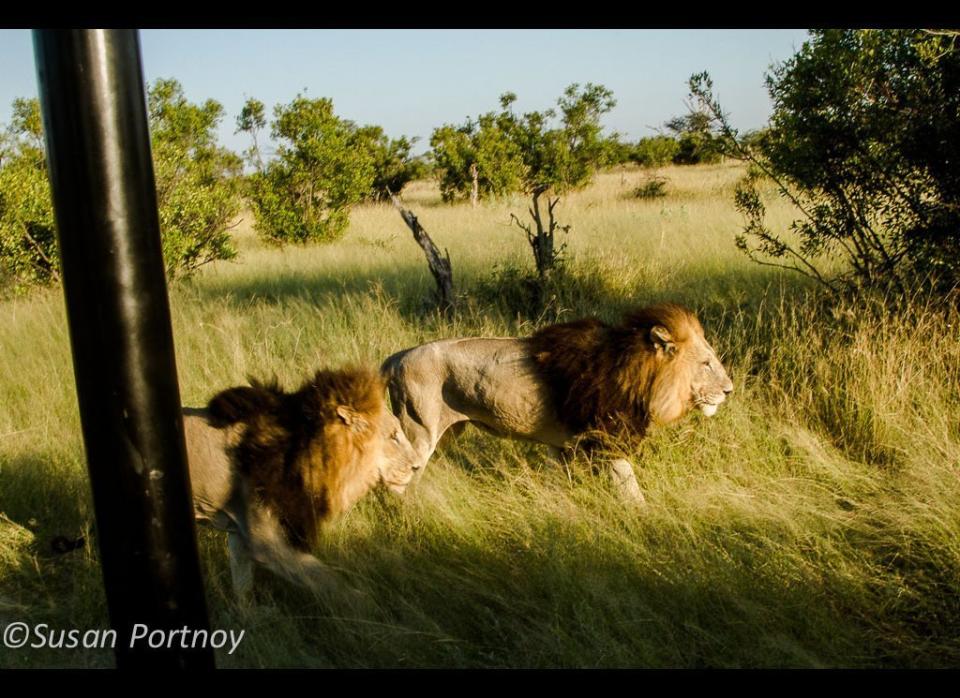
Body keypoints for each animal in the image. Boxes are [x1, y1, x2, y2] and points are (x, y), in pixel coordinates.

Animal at [184, 364, 416, 600]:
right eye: (393, 436)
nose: (416, 466)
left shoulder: (239, 530)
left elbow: (243, 586)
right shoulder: (266, 541)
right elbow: (329, 580)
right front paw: (371, 602)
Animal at [378, 302, 732, 498]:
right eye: (706, 363)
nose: (729, 390)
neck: (636, 371)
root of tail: (395, 358)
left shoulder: (564, 445)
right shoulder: (607, 441)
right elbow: (631, 492)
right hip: (418, 431)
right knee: (396, 483)